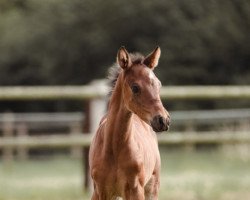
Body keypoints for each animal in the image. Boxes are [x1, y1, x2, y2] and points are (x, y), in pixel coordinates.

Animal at [88, 47, 170, 200]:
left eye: (159, 84)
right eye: (135, 87)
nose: (163, 120)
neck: (113, 149)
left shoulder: (136, 189)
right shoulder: (101, 191)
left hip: (152, 187)